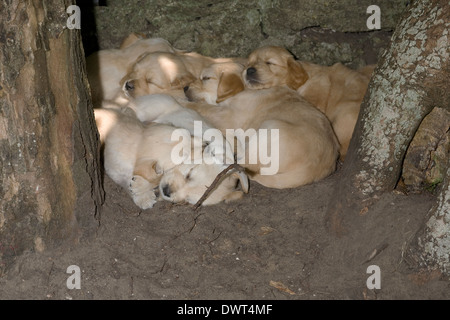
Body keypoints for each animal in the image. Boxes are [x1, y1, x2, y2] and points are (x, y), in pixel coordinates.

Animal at [183, 61, 338, 189]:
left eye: (206, 78)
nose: (184, 87)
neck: (244, 89)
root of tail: (314, 170)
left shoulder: (227, 116)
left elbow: (203, 107)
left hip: (269, 127)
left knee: (242, 164)